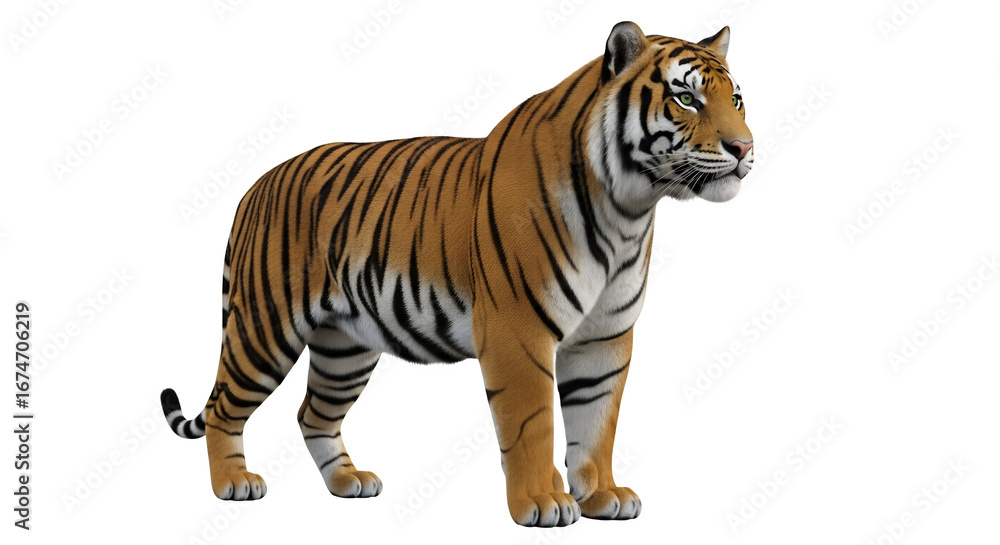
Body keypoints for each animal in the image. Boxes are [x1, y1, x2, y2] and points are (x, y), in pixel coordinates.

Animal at [161, 21, 753, 527]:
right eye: (686, 98)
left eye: (736, 99)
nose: (745, 147)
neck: (628, 209)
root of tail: (256, 185)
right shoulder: (519, 331)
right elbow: (533, 422)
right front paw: (542, 503)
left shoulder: (605, 338)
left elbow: (595, 421)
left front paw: (602, 495)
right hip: (264, 329)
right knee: (223, 407)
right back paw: (234, 484)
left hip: (345, 347)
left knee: (313, 414)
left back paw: (349, 482)